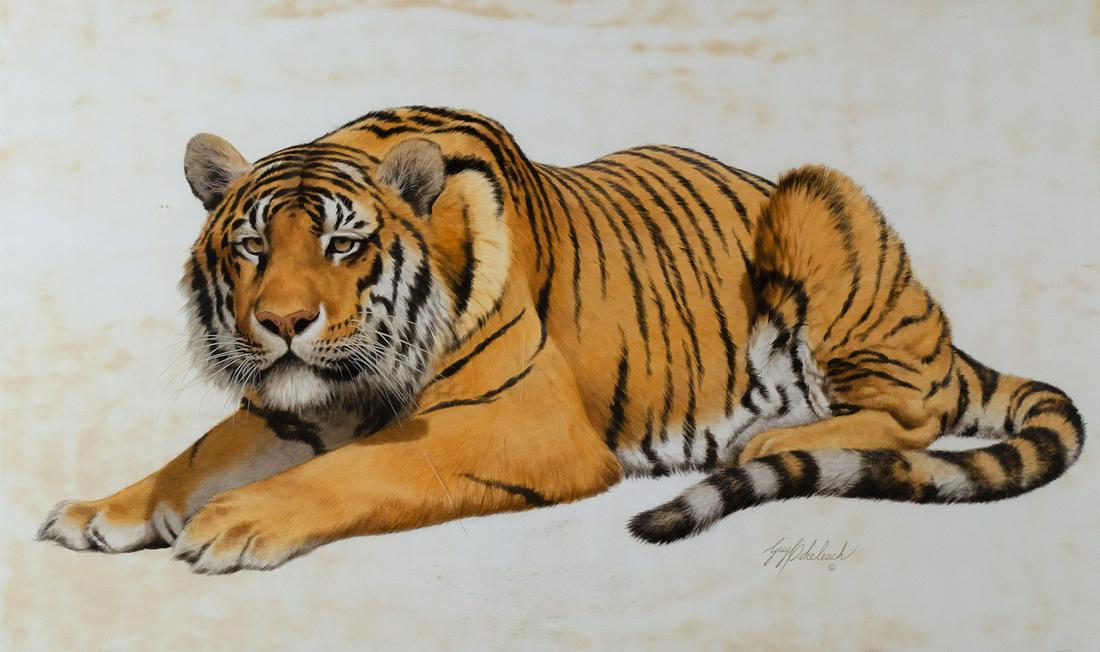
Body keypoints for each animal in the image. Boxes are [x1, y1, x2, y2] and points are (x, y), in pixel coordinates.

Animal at [37, 106, 1085, 573]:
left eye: (343, 244)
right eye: (253, 246)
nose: (285, 323)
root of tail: (939, 325)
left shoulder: (518, 423)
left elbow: (361, 470)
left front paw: (234, 523)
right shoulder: (294, 406)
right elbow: (198, 452)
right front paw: (105, 512)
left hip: (817, 200)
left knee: (911, 414)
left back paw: (768, 436)